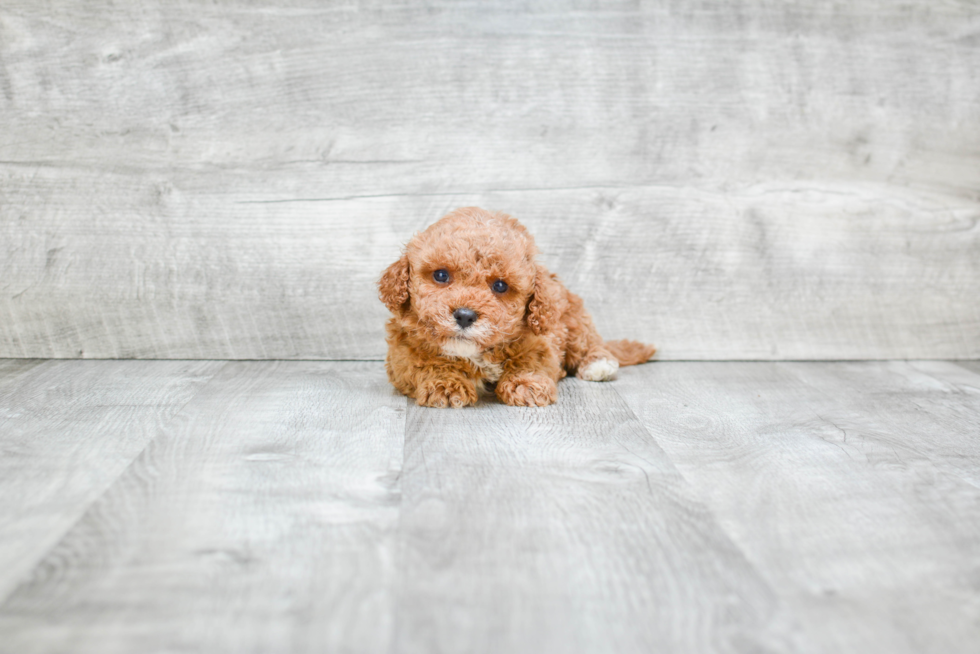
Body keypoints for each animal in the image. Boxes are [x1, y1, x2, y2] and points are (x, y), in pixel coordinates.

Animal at [378, 208, 656, 408]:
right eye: (441, 275)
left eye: (500, 286)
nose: (465, 316)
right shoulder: (403, 354)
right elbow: (428, 362)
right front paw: (446, 384)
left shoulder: (541, 341)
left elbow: (529, 361)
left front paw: (526, 384)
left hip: (575, 321)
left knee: (590, 344)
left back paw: (598, 364)